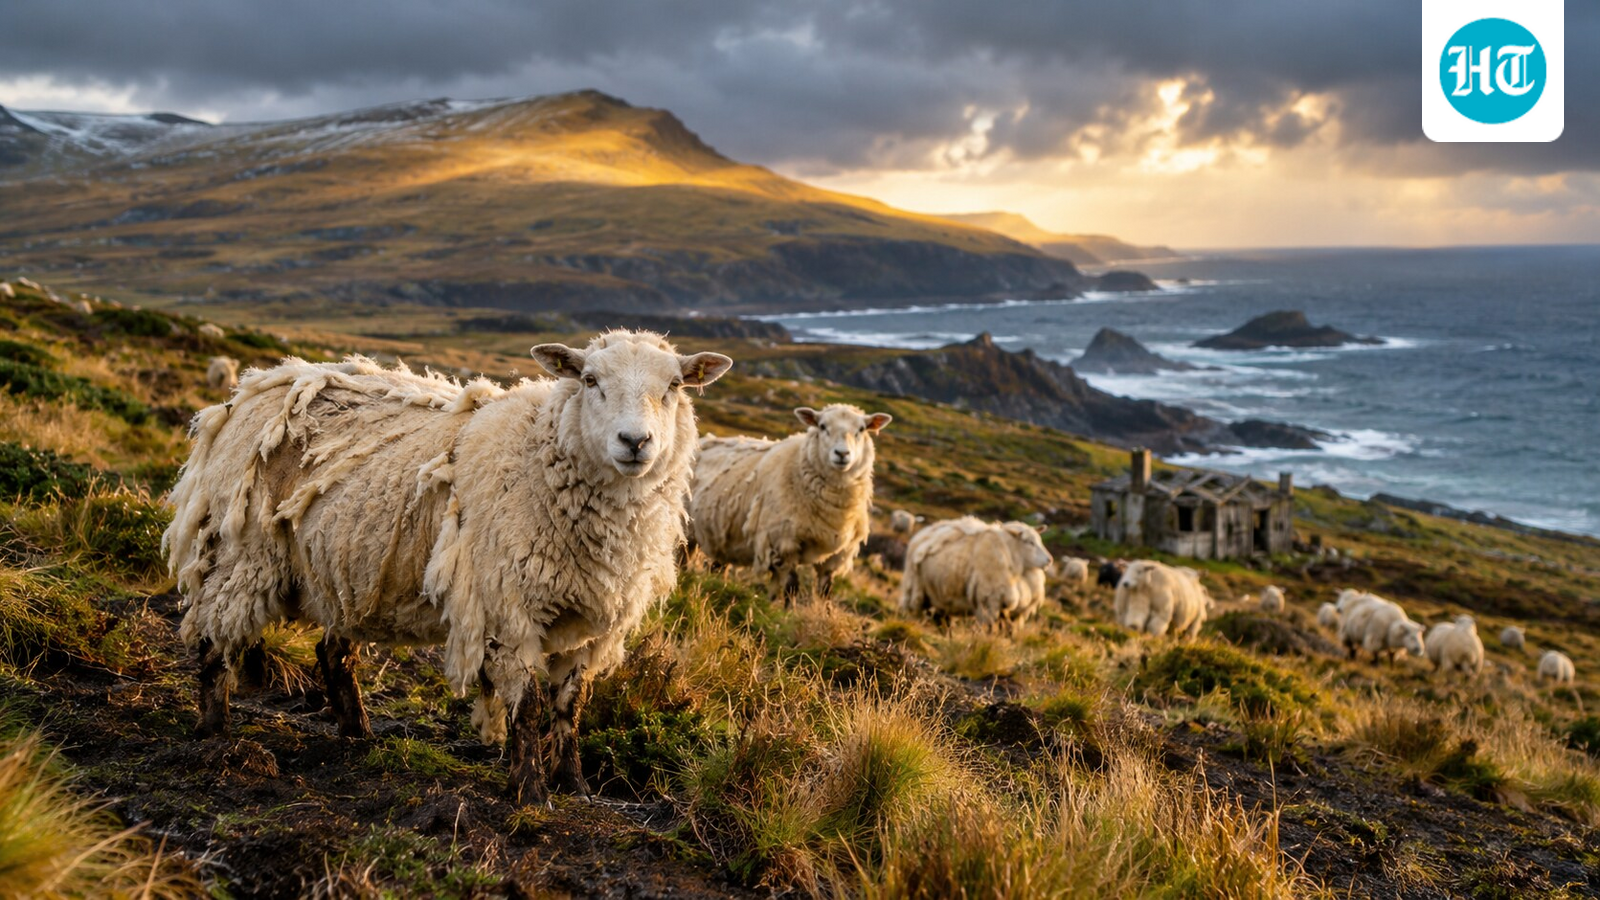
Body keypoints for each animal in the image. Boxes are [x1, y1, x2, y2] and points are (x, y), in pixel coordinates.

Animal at [163, 332, 732, 802]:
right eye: (590, 380)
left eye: (675, 385)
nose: (635, 443)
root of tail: (254, 387)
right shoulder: (508, 607)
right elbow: (527, 706)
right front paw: (530, 793)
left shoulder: (592, 625)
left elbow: (570, 706)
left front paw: (574, 785)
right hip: (245, 552)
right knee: (215, 640)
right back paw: (215, 736)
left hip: (344, 568)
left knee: (333, 653)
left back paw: (357, 733)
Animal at [688, 404, 891, 604]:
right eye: (822, 426)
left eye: (861, 429)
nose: (842, 454)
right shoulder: (785, 542)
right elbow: (791, 586)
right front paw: (786, 612)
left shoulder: (838, 554)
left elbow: (826, 591)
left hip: (724, 536)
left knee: (716, 566)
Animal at [899, 517, 1052, 628]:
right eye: (1029, 542)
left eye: (1039, 540)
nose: (1049, 560)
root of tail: (924, 533)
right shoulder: (990, 601)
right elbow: (989, 629)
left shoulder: (1008, 609)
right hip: (915, 589)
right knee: (916, 612)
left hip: (942, 596)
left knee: (942, 619)